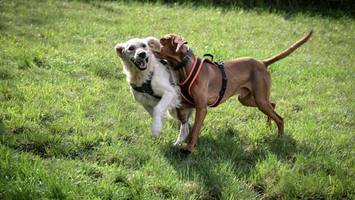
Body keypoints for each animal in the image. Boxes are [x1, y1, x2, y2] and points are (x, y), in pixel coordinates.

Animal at [154, 30, 312, 152]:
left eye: (162, 40)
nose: (150, 43)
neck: (185, 67)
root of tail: (262, 62)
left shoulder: (201, 108)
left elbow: (194, 130)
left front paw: (189, 147)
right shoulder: (187, 104)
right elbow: (183, 120)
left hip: (259, 100)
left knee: (280, 118)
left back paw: (280, 137)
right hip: (248, 99)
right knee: (272, 105)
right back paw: (268, 125)